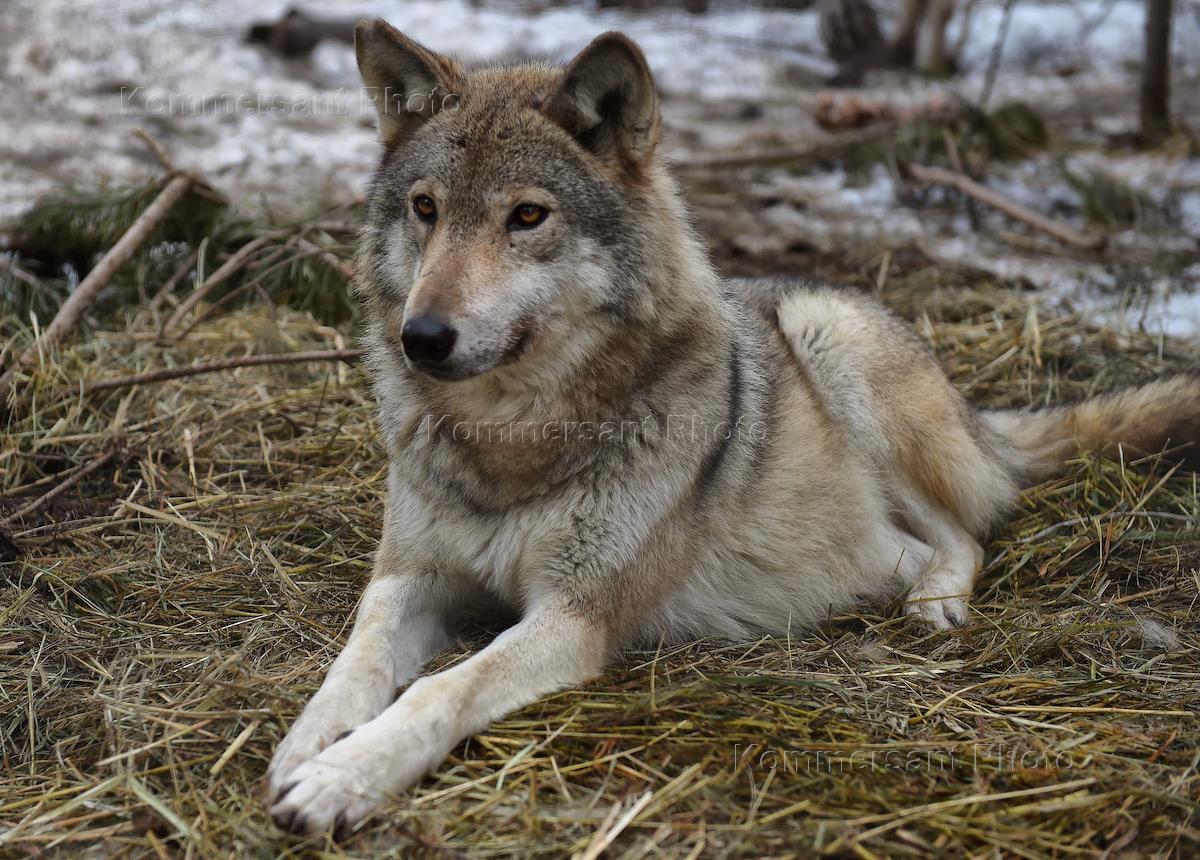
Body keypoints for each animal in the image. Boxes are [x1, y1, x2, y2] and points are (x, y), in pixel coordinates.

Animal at [267, 20, 1195, 834]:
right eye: (425, 209)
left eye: (526, 217)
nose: (421, 337)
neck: (512, 441)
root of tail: (972, 407)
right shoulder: (409, 575)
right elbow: (355, 659)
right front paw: (307, 747)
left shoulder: (576, 616)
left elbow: (440, 688)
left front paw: (343, 776)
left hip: (830, 337)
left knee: (965, 535)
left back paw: (934, 605)